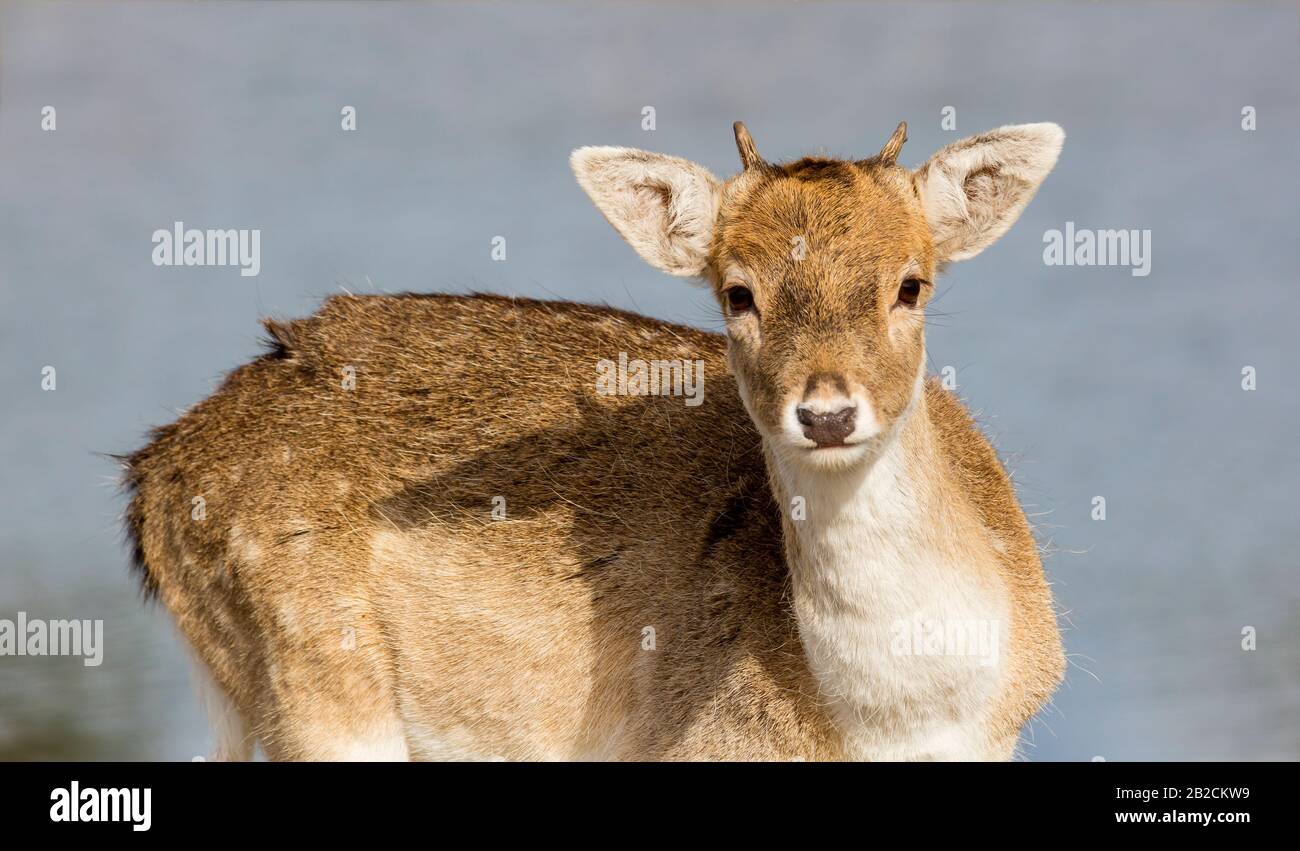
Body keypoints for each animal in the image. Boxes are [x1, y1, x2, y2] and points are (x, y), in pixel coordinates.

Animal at [124, 121, 1066, 763]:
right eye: (737, 292)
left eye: (911, 284)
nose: (828, 413)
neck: (895, 718)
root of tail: (153, 476)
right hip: (314, 692)